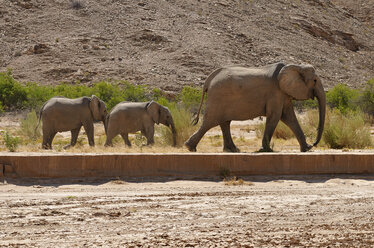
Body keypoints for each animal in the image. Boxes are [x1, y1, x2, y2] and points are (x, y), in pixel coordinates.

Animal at [186, 62, 326, 152]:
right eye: (314, 81)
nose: (314, 143)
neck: (295, 66)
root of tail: (209, 80)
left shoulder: (283, 93)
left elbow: (289, 117)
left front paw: (306, 149)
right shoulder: (275, 92)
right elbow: (275, 116)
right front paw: (266, 150)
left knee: (224, 123)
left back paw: (232, 150)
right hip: (218, 98)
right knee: (209, 122)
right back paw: (190, 147)